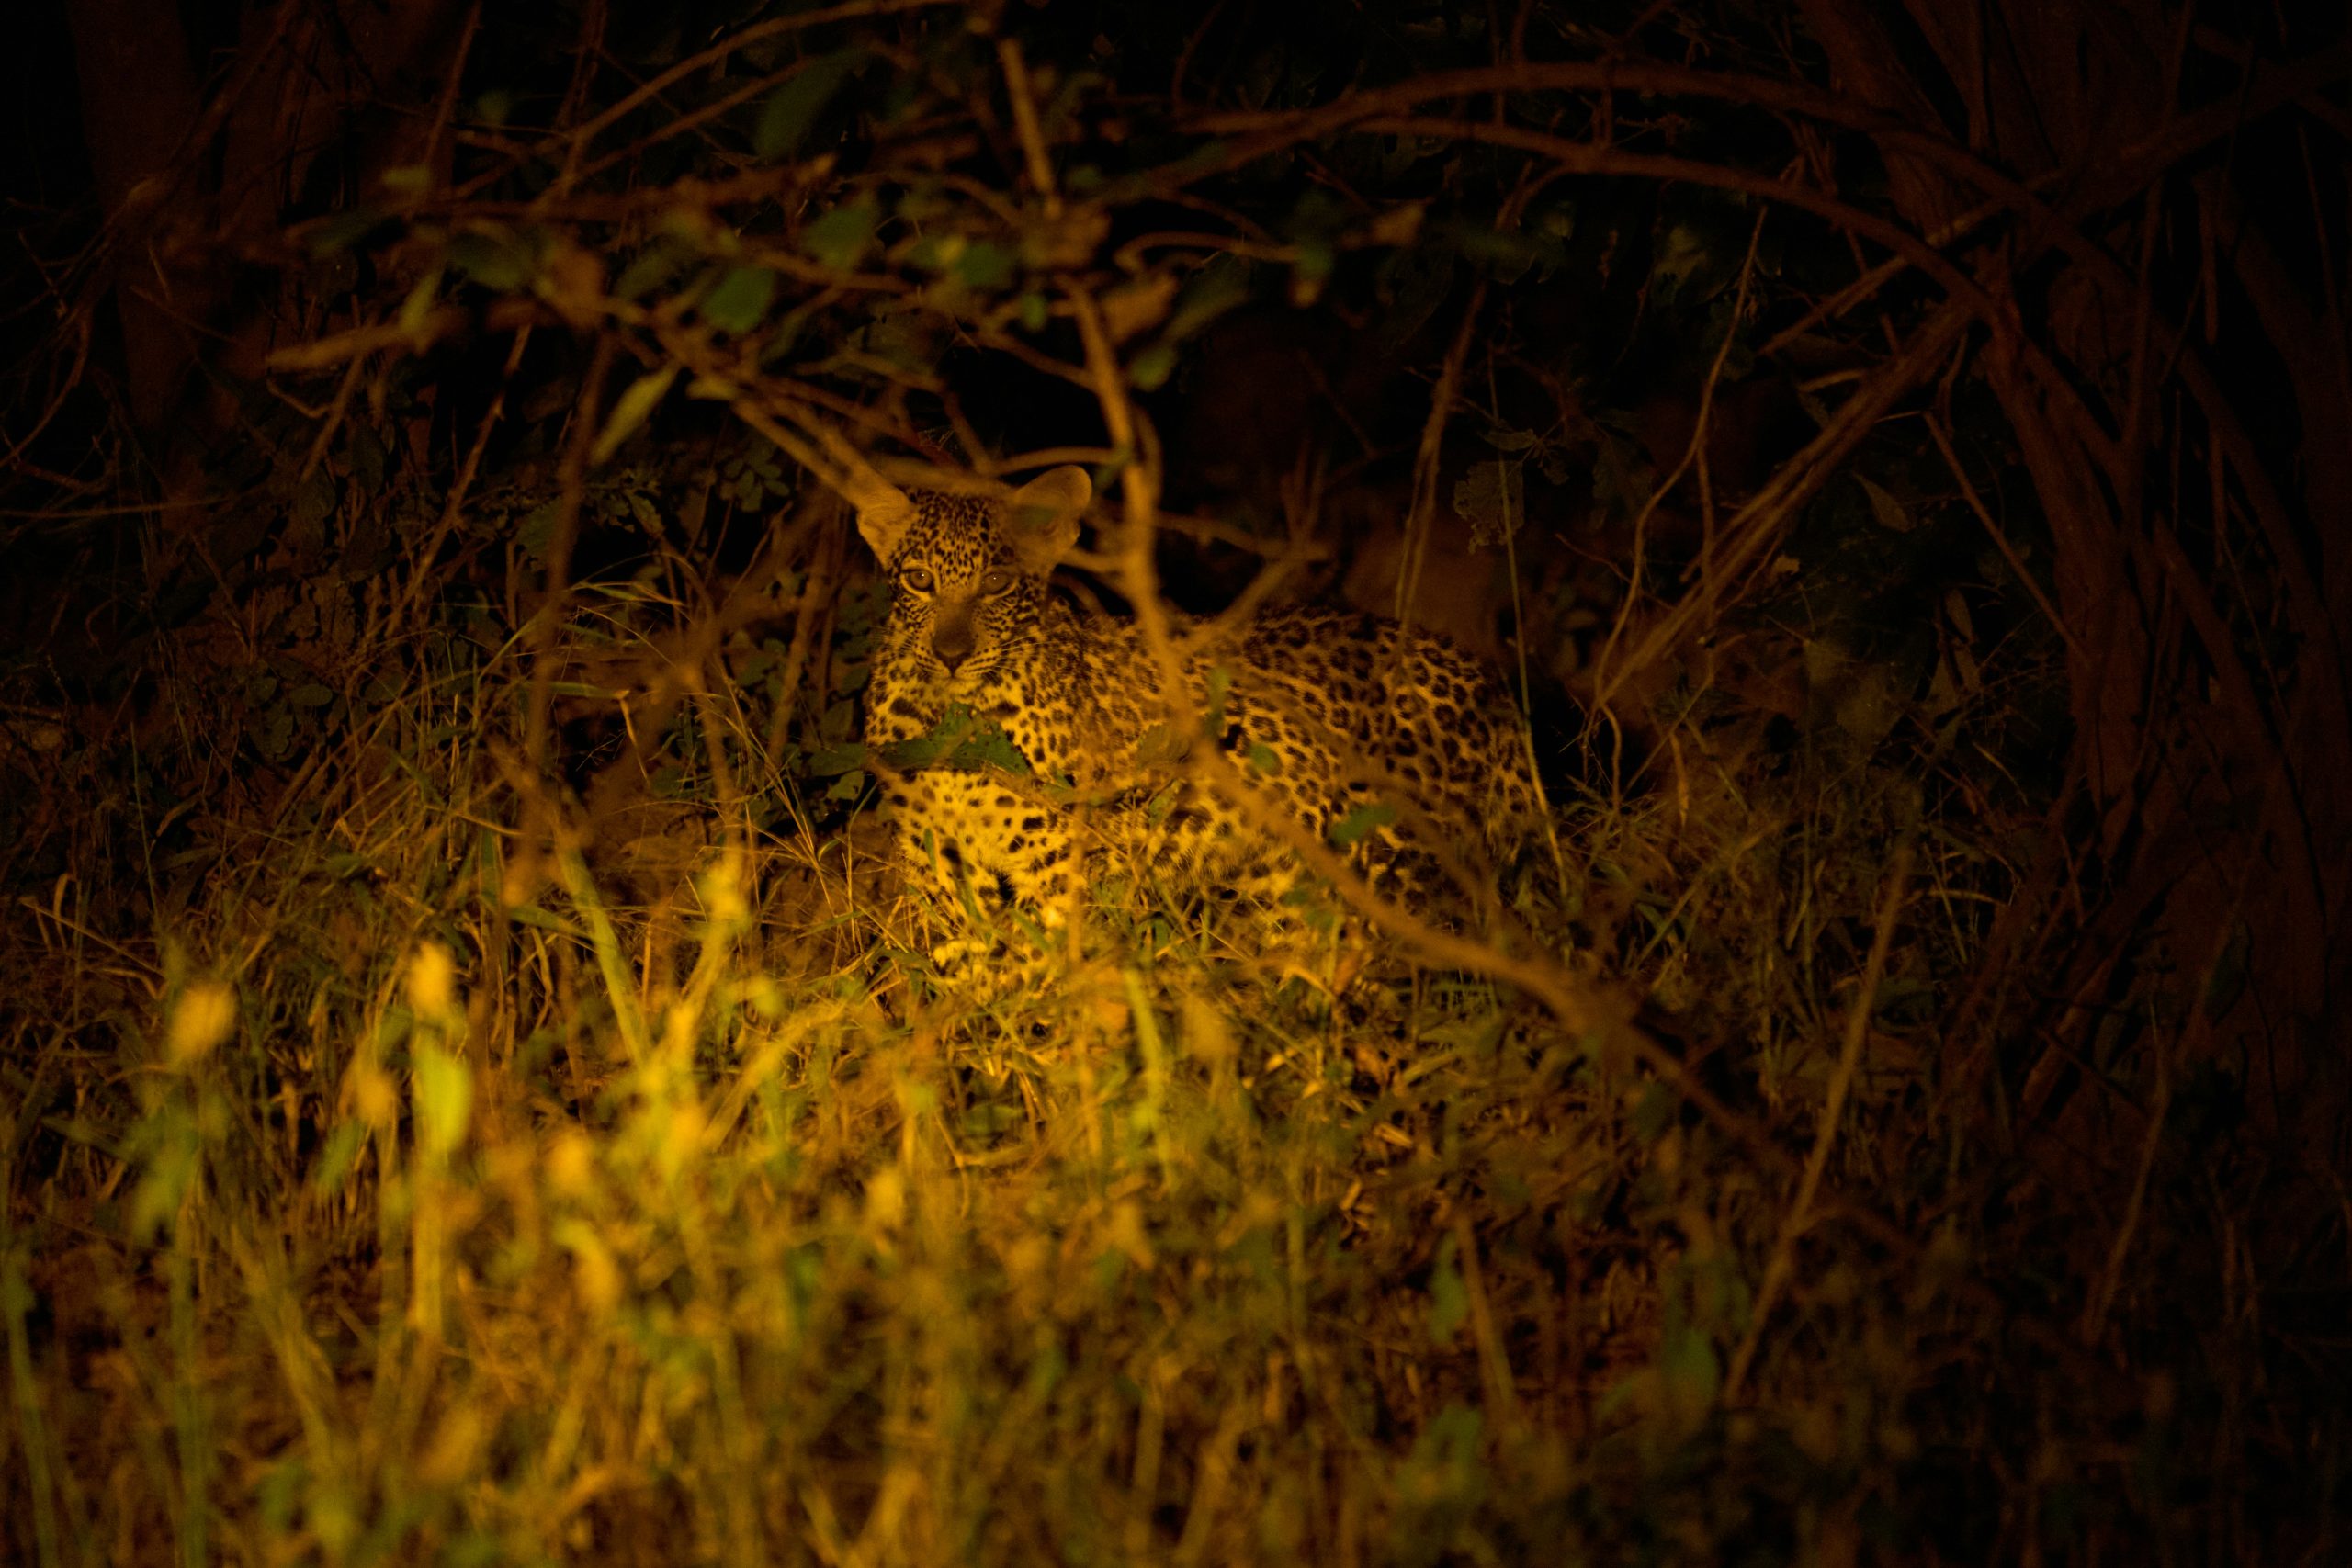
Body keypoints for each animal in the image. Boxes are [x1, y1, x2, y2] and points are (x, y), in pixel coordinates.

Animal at [850, 463, 1544, 938]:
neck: (947, 715)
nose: (950, 653)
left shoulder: (1067, 858)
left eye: (995, 584)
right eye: (919, 580)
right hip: (1287, 881)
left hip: (1396, 862)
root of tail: (1488, 682)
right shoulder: (932, 857)